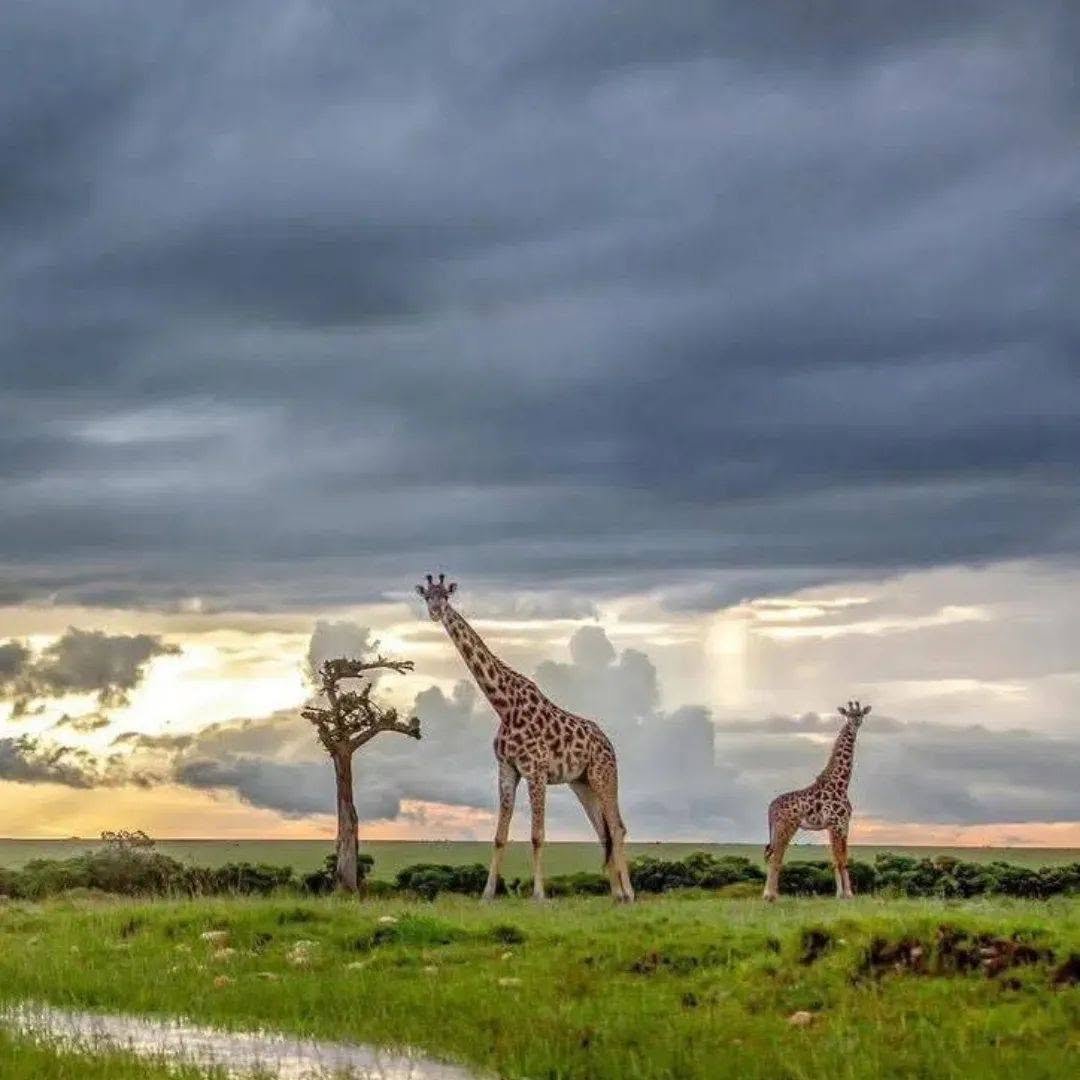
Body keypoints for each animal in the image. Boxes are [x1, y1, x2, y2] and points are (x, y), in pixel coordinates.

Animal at [415, 573, 634, 902]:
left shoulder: (536, 770)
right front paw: (487, 895)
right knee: (602, 831)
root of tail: (609, 743)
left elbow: (537, 835)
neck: (503, 705)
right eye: (427, 596)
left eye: (446, 596)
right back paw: (616, 894)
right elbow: (499, 836)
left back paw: (630, 894)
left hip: (603, 774)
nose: (435, 612)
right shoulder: (507, 769)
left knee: (617, 827)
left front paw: (539, 896)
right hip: (581, 783)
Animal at [762, 699, 871, 901]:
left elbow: (839, 859)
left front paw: (842, 894)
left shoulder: (841, 825)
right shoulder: (836, 823)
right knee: (776, 857)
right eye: (849, 715)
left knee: (773, 855)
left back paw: (772, 894)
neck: (841, 784)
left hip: (782, 828)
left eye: (860, 714)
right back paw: (770, 896)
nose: (856, 723)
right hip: (786, 826)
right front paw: (846, 894)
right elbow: (841, 860)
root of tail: (770, 807)